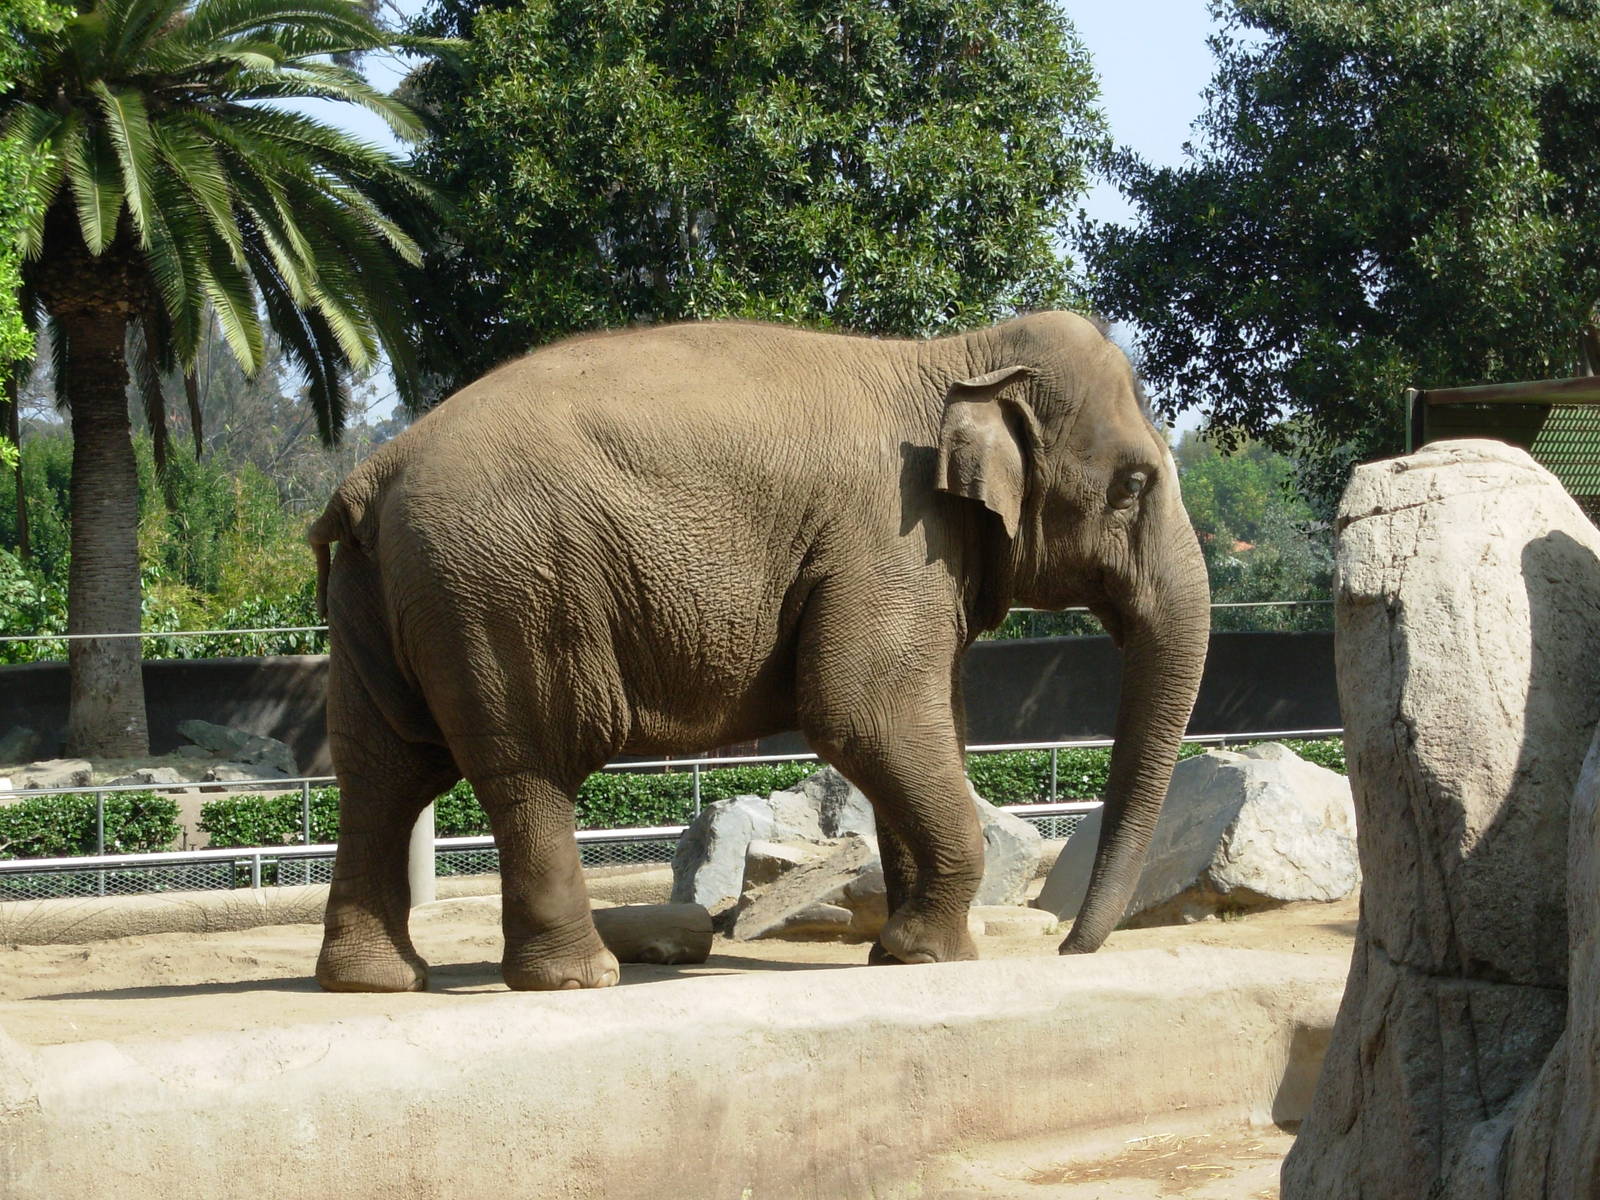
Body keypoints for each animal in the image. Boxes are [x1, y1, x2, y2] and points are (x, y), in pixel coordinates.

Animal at [308, 311, 1210, 993]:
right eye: (1133, 485)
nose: (1070, 948)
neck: (959, 353)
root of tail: (372, 475)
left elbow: (924, 725)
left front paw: (906, 952)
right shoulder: (887, 536)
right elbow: (862, 710)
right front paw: (929, 955)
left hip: (384, 597)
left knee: (384, 770)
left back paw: (373, 981)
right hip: (506, 593)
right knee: (528, 767)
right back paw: (577, 978)